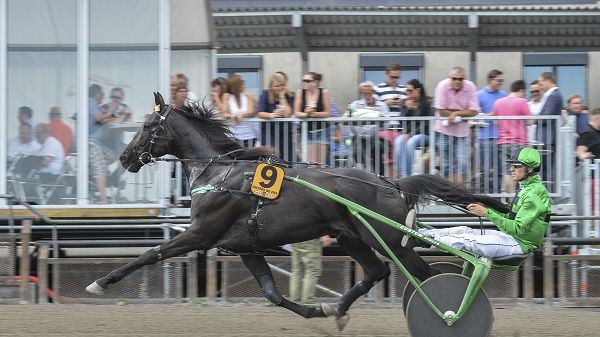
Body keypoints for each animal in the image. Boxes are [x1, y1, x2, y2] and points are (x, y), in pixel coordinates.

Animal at [86, 92, 508, 328]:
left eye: (146, 125)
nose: (124, 158)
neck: (218, 172)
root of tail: (391, 184)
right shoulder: (244, 246)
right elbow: (273, 294)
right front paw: (316, 312)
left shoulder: (200, 234)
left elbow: (150, 253)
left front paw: (101, 282)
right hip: (350, 236)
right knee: (379, 271)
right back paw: (338, 309)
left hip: (388, 238)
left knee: (426, 279)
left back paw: (449, 315)